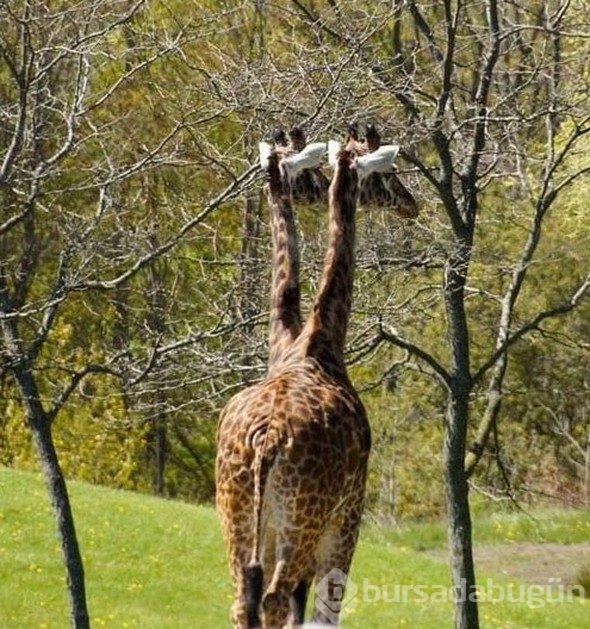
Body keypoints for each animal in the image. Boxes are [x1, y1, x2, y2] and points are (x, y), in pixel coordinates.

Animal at [217, 140, 372, 624]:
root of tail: (268, 440)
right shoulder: (348, 516)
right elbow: (325, 611)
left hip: (237, 512)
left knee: (244, 599)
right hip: (303, 521)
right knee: (275, 597)